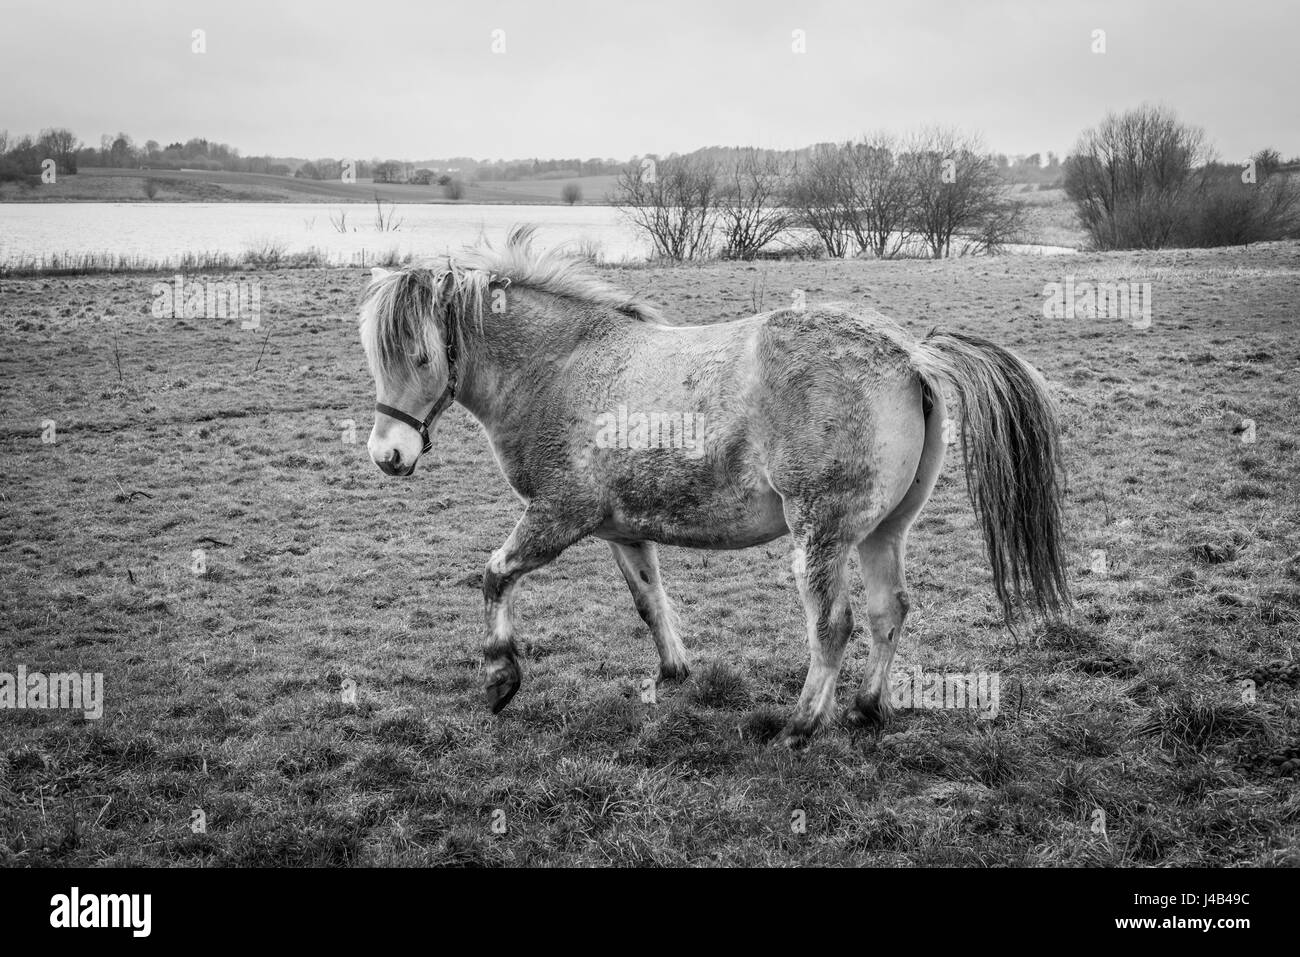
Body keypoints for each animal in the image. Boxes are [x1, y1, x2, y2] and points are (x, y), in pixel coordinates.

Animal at [357, 227, 1070, 747]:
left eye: (422, 355)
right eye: (376, 357)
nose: (388, 456)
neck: (564, 368)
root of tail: (908, 357)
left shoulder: (558, 516)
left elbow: (496, 575)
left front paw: (501, 676)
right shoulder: (622, 530)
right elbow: (651, 602)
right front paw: (675, 672)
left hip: (820, 535)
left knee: (832, 624)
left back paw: (800, 727)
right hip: (881, 532)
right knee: (886, 612)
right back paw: (867, 709)